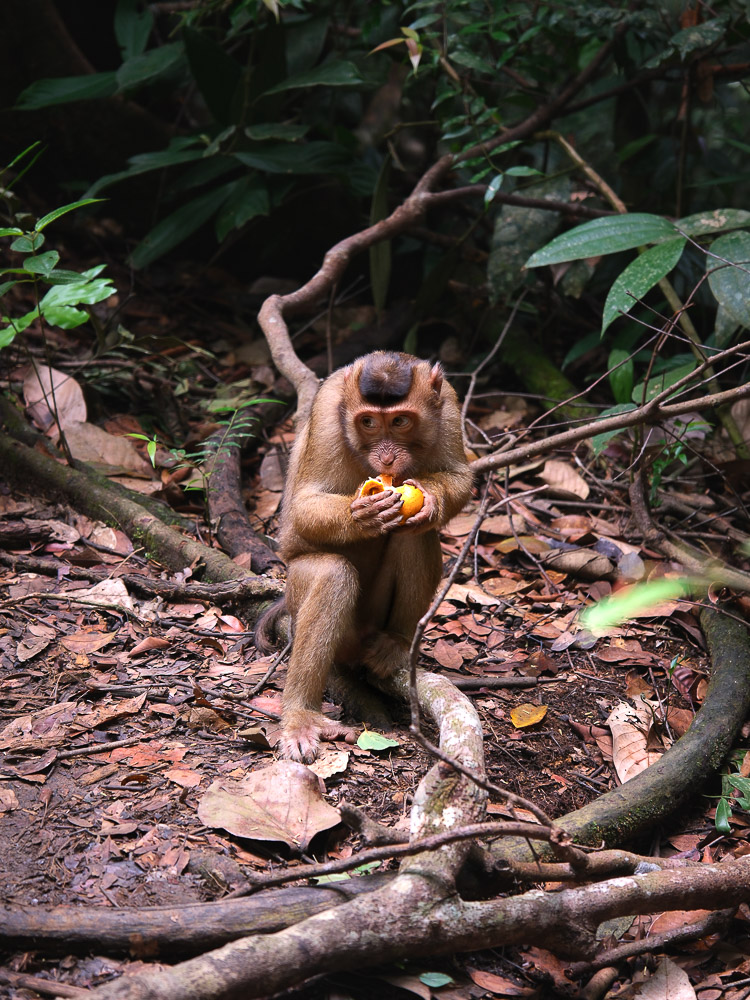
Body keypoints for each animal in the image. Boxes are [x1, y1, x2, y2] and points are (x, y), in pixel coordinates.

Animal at [256, 351, 472, 763]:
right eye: (368, 422)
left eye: (400, 421)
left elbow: (460, 477)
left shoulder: (450, 403)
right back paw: (301, 715)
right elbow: (303, 504)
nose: (386, 458)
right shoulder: (326, 411)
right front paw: (363, 515)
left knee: (413, 536)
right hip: (303, 600)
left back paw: (395, 643)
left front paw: (430, 501)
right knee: (331, 575)